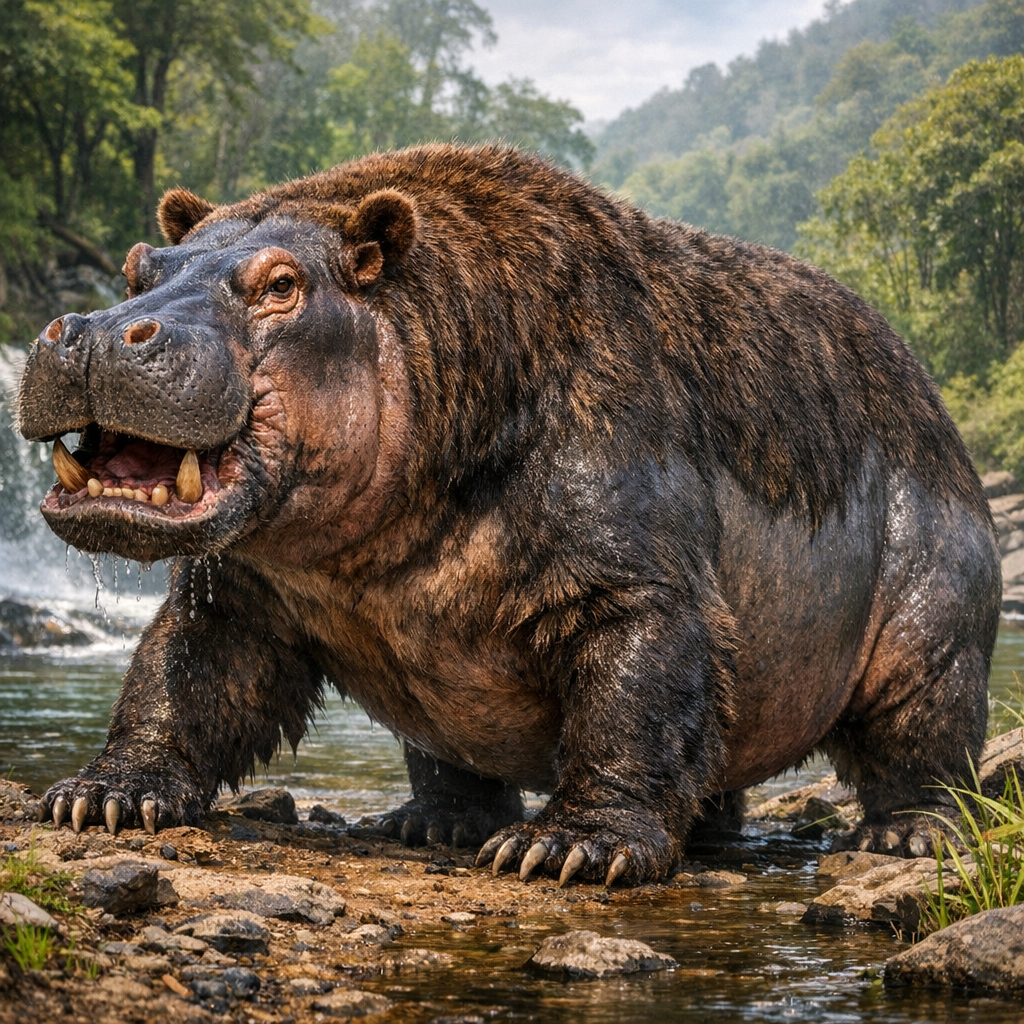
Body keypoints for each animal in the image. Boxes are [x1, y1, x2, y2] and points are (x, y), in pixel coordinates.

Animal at [17, 143, 1001, 886]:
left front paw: (566, 851)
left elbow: (634, 688)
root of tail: (926, 387)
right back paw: (435, 826)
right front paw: (96, 797)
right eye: (138, 268)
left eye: (282, 283)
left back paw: (906, 836)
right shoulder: (245, 582)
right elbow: (183, 673)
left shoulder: (630, 574)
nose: (94, 331)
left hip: (931, 604)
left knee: (920, 727)